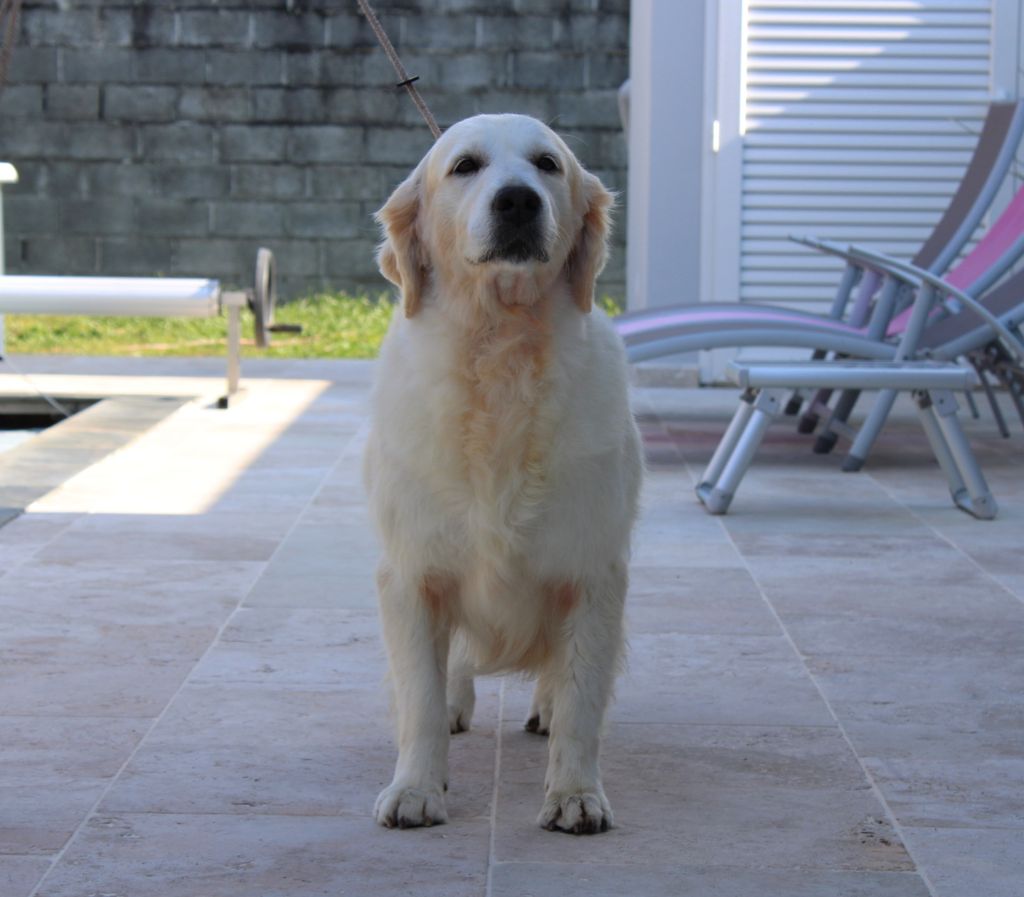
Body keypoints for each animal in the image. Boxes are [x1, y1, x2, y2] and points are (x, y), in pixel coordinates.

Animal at [366, 112, 638, 835]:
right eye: (465, 166)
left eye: (547, 163)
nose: (517, 201)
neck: (501, 352)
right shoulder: (412, 572)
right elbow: (420, 697)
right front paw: (416, 787)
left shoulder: (593, 571)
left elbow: (581, 699)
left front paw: (574, 793)